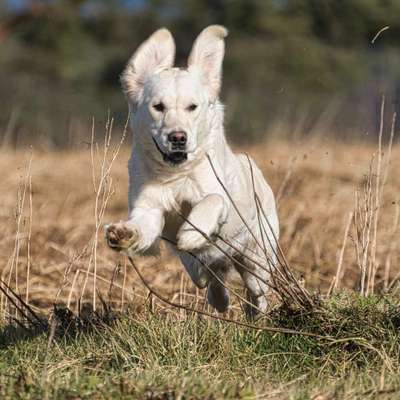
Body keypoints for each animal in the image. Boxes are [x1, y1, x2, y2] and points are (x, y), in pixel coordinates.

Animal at [105, 25, 278, 318]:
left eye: (192, 107)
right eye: (158, 107)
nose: (178, 137)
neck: (175, 174)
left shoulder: (219, 198)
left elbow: (213, 199)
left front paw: (191, 231)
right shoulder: (150, 209)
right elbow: (142, 225)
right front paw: (124, 234)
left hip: (257, 258)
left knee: (257, 291)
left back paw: (257, 315)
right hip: (197, 268)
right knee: (211, 280)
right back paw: (220, 298)